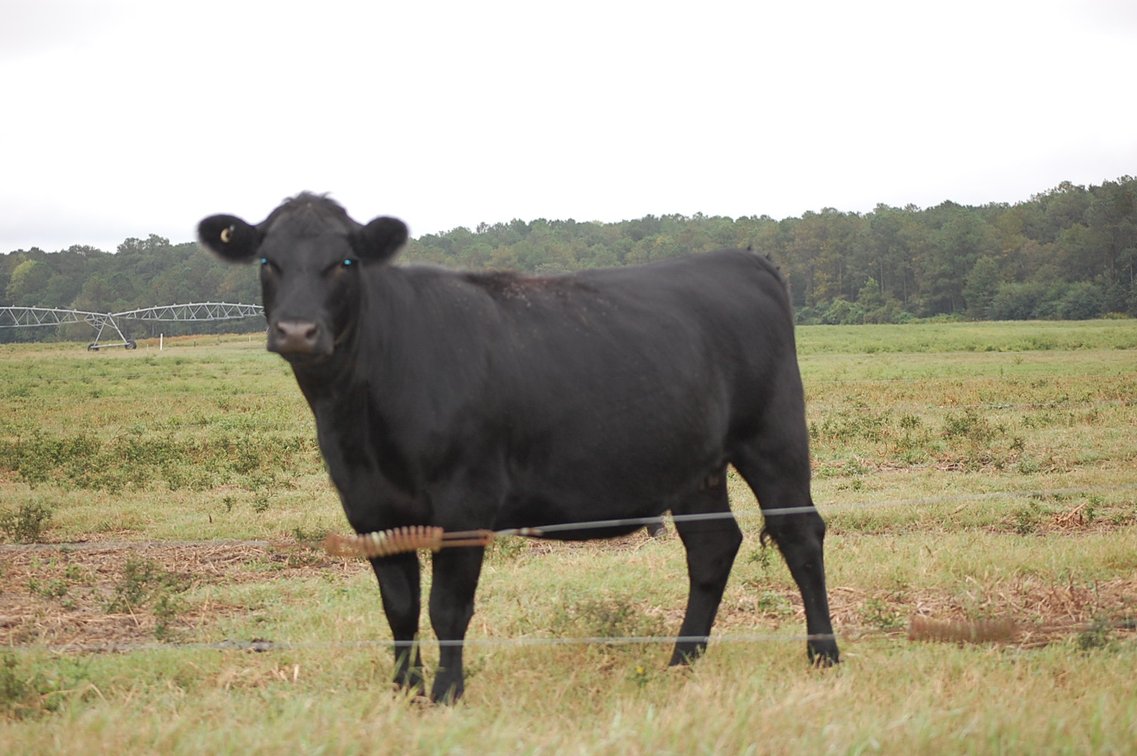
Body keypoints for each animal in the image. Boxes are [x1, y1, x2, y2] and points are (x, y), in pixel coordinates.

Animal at [199, 193, 839, 703]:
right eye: (267, 260)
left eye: (345, 261)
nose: (297, 331)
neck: (361, 413)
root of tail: (743, 258)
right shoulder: (367, 504)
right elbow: (398, 605)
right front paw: (403, 693)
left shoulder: (466, 497)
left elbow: (447, 606)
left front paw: (447, 693)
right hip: (694, 463)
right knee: (712, 546)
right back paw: (682, 661)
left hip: (774, 436)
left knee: (799, 533)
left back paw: (823, 655)